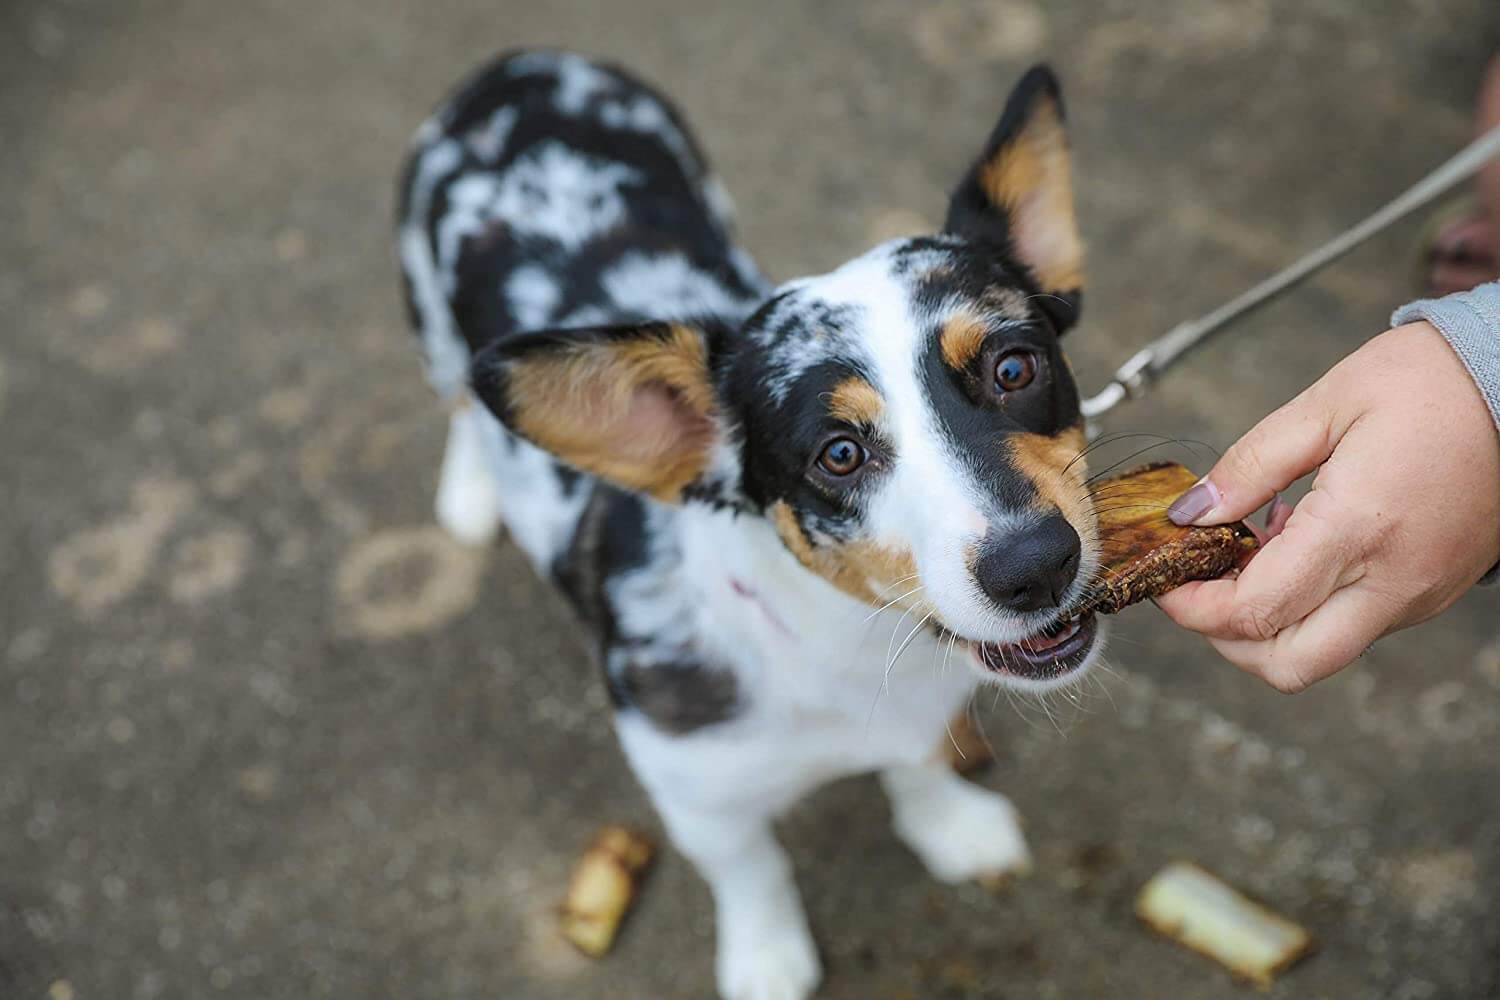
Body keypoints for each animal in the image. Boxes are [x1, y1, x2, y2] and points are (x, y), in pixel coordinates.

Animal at [399, 50, 1104, 1000]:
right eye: (838, 454)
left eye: (1015, 367)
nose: (1036, 566)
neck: (846, 642)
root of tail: (517, 65)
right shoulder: (701, 796)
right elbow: (752, 870)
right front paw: (767, 958)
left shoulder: (920, 717)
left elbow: (918, 770)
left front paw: (951, 829)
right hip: (433, 327)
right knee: (462, 405)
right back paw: (472, 491)